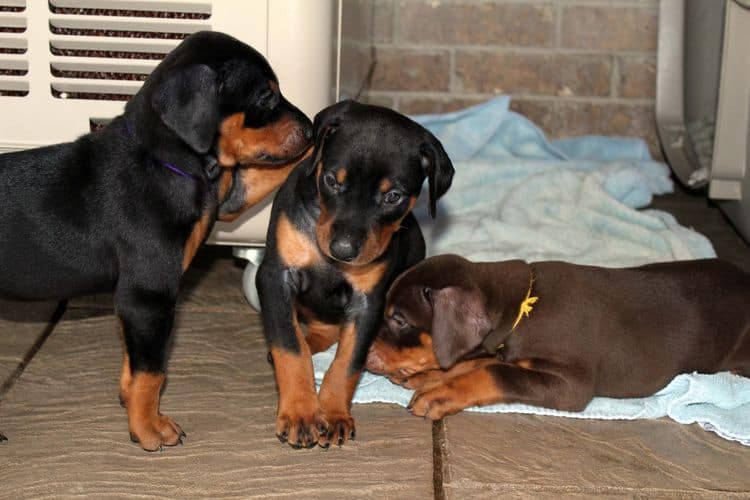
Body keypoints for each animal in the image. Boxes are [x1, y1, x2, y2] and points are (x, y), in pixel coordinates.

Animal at [0, 32, 312, 454]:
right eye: (265, 96)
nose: (309, 127)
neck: (164, 160)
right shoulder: (149, 295)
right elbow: (152, 370)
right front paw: (148, 427)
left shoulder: (225, 199)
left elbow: (136, 364)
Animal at [258, 99, 458, 448]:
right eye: (331, 180)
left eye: (393, 196)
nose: (343, 250)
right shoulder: (276, 278)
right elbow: (290, 346)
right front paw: (301, 413)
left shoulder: (368, 302)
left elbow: (348, 361)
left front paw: (334, 413)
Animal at [366, 254, 750, 418]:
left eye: (399, 319)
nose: (363, 354)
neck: (523, 305)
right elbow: (481, 360)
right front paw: (430, 376)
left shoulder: (572, 385)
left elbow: (494, 370)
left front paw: (439, 392)